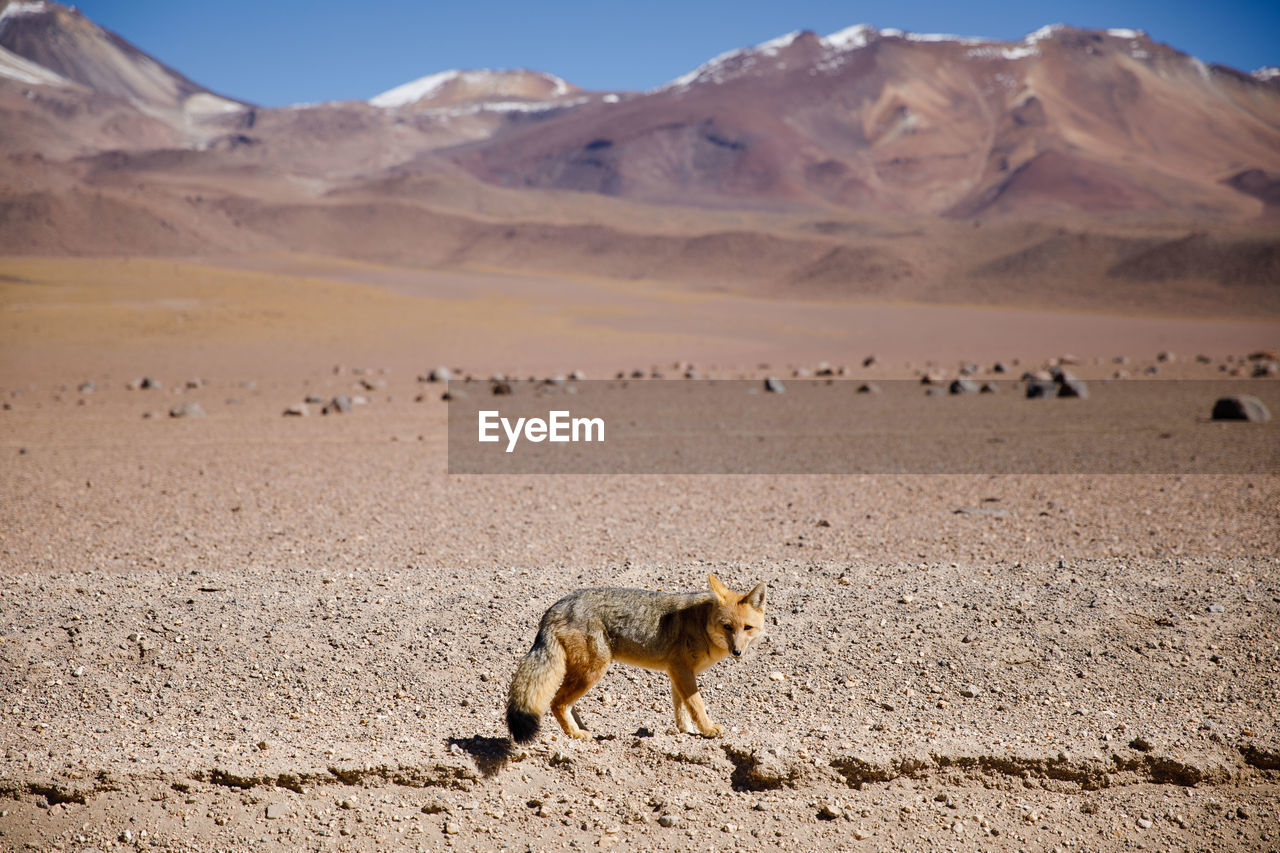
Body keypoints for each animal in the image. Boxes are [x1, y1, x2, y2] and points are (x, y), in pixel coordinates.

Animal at [504, 573, 762, 742]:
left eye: (747, 628)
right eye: (727, 627)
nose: (737, 652)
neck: (701, 623)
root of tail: (556, 606)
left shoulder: (677, 673)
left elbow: (682, 707)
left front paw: (685, 730)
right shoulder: (682, 670)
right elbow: (697, 705)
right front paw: (707, 729)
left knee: (564, 702)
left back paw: (581, 729)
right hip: (593, 670)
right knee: (557, 702)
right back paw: (575, 733)